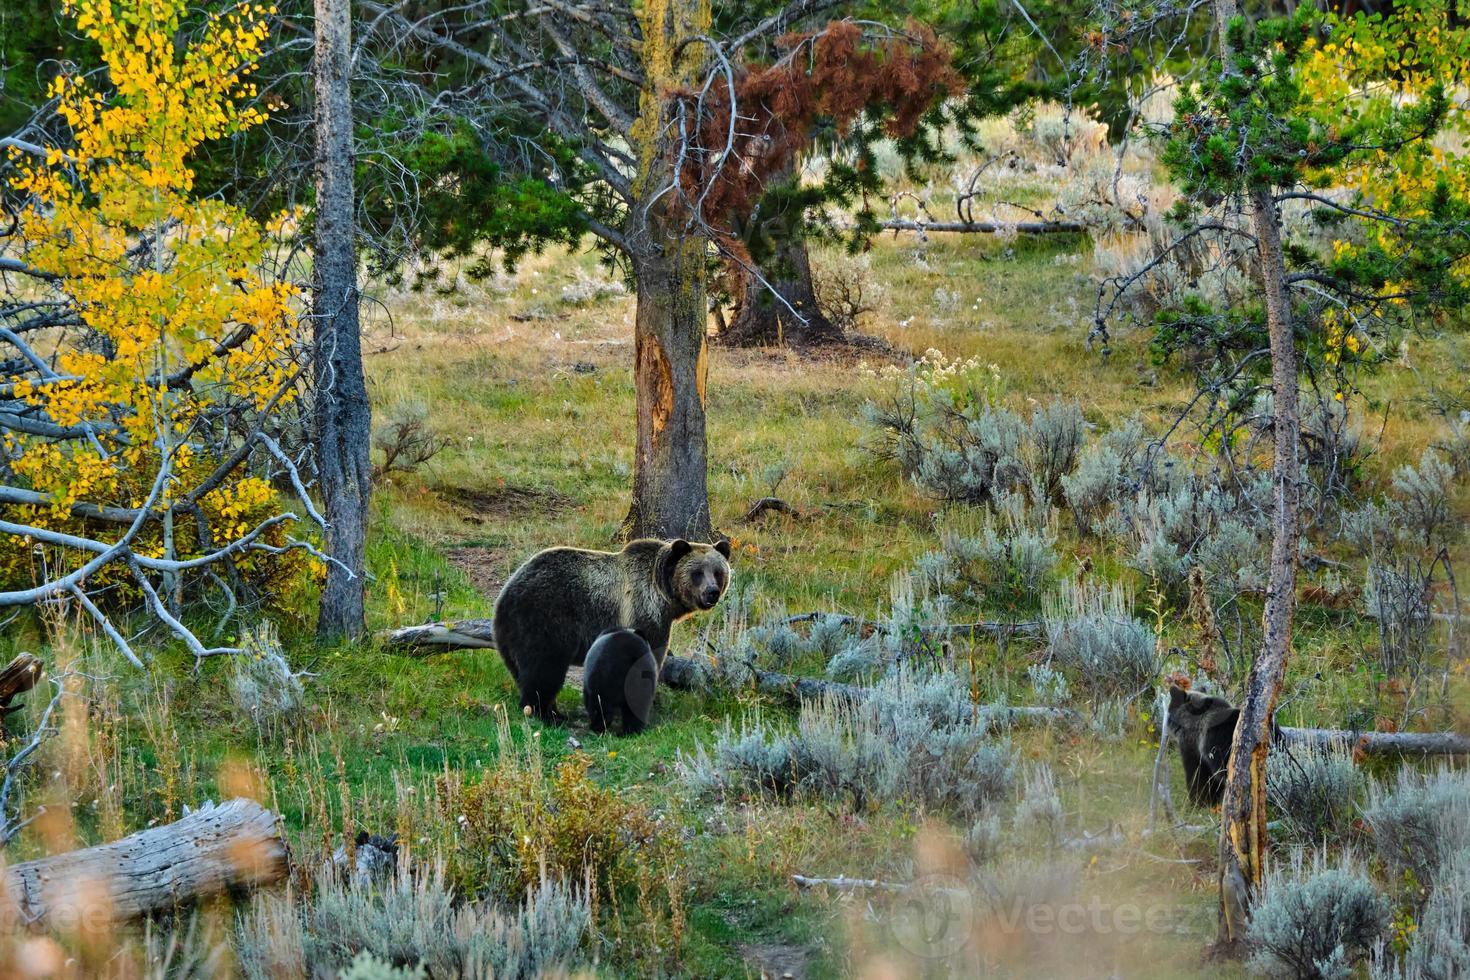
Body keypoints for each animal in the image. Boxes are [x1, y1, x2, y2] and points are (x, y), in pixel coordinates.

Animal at [493, 537, 729, 719]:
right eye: (697, 573)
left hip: (511, 634)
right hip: (546, 618)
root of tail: (506, 593)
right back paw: (546, 713)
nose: (712, 592)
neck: (664, 596)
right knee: (544, 667)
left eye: (718, 572)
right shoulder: (644, 613)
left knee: (522, 669)